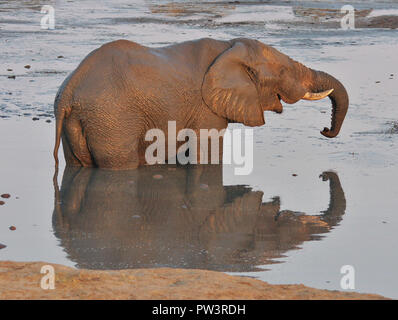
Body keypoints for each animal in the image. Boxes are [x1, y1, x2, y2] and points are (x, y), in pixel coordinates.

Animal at [52, 37, 348, 169]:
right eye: (285, 72)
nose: (324, 130)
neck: (229, 46)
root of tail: (69, 90)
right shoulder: (206, 108)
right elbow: (208, 152)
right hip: (112, 119)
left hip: (78, 122)